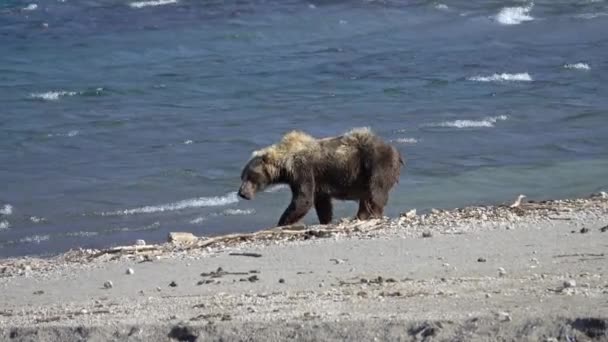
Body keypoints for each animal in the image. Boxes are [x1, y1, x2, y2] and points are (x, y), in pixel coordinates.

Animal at [236, 127, 404, 226]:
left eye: (250, 176)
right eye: (242, 176)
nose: (242, 193)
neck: (285, 164)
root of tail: (396, 151)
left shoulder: (302, 171)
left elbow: (303, 199)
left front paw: (282, 223)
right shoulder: (317, 180)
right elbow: (322, 203)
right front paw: (326, 220)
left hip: (375, 163)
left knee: (376, 191)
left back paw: (374, 215)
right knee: (366, 197)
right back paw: (359, 216)